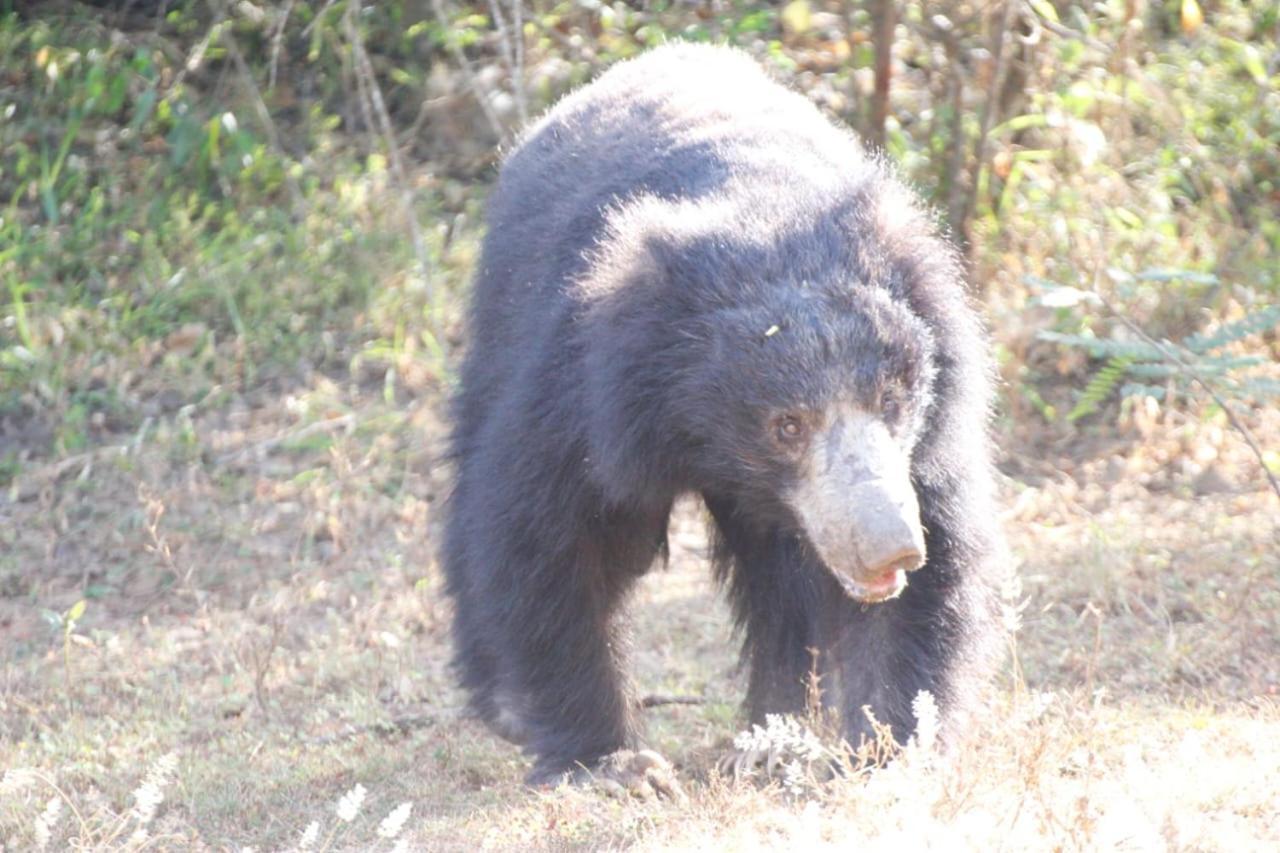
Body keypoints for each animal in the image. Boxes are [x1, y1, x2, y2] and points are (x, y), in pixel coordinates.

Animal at [445, 43, 1003, 778]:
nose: (891, 548)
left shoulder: (928, 439)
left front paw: (882, 750)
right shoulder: (586, 392)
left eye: (891, 399)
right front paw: (613, 765)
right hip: (497, 319)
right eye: (786, 425)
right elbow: (553, 539)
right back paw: (503, 705)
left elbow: (931, 564)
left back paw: (770, 731)